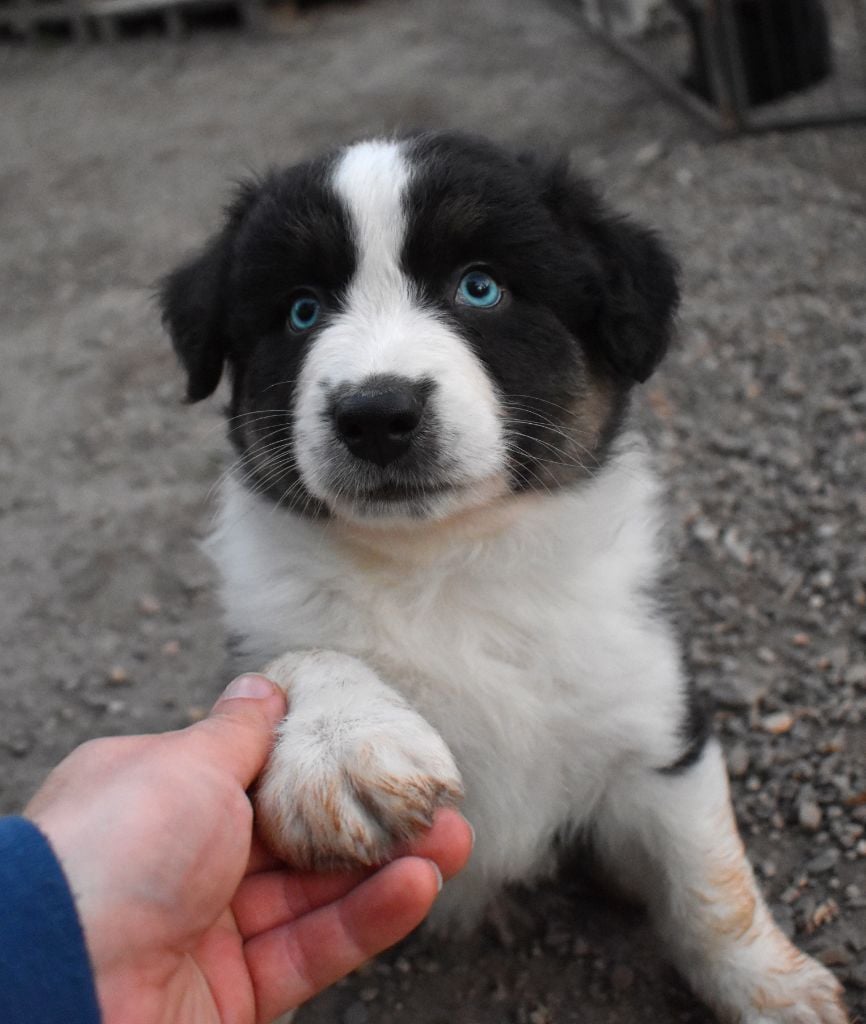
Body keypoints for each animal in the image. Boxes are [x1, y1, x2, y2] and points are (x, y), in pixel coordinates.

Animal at [160, 132, 847, 1024]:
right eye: (301, 310)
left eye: (479, 287)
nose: (375, 414)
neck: (448, 566)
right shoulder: (264, 621)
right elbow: (298, 652)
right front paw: (339, 743)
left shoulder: (654, 719)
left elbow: (709, 884)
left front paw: (775, 988)